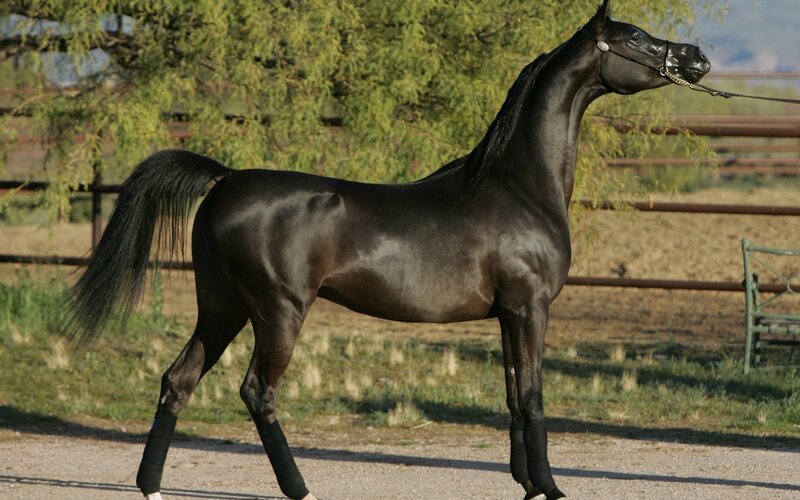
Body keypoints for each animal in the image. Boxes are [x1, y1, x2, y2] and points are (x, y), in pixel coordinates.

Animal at [64, 1, 710, 498]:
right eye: (635, 38)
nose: (697, 58)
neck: (519, 185)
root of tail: (225, 180)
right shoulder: (530, 309)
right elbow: (532, 397)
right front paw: (549, 488)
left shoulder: (507, 315)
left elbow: (511, 397)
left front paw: (527, 486)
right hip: (277, 311)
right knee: (257, 392)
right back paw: (300, 489)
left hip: (221, 307)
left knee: (178, 381)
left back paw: (151, 485)